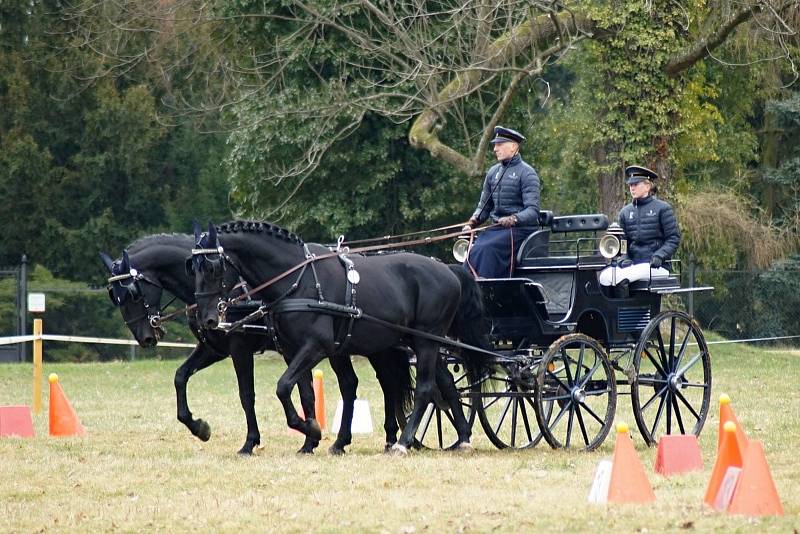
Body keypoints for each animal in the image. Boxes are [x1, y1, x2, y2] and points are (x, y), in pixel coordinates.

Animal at [100, 234, 412, 456]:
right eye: (114, 296)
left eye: (133, 293)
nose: (145, 338)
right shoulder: (215, 349)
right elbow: (180, 377)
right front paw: (200, 427)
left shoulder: (240, 348)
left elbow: (247, 395)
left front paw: (251, 442)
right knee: (366, 384)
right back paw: (379, 438)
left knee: (379, 383)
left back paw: (390, 437)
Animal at [192, 220, 488, 454]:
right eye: (192, 267)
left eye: (212, 268)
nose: (208, 318)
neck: (298, 280)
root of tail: (449, 270)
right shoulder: (297, 349)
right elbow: (307, 392)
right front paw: (315, 437)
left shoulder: (315, 346)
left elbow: (283, 386)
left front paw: (311, 430)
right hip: (419, 342)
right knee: (445, 384)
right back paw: (463, 438)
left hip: (426, 341)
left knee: (425, 389)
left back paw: (403, 443)